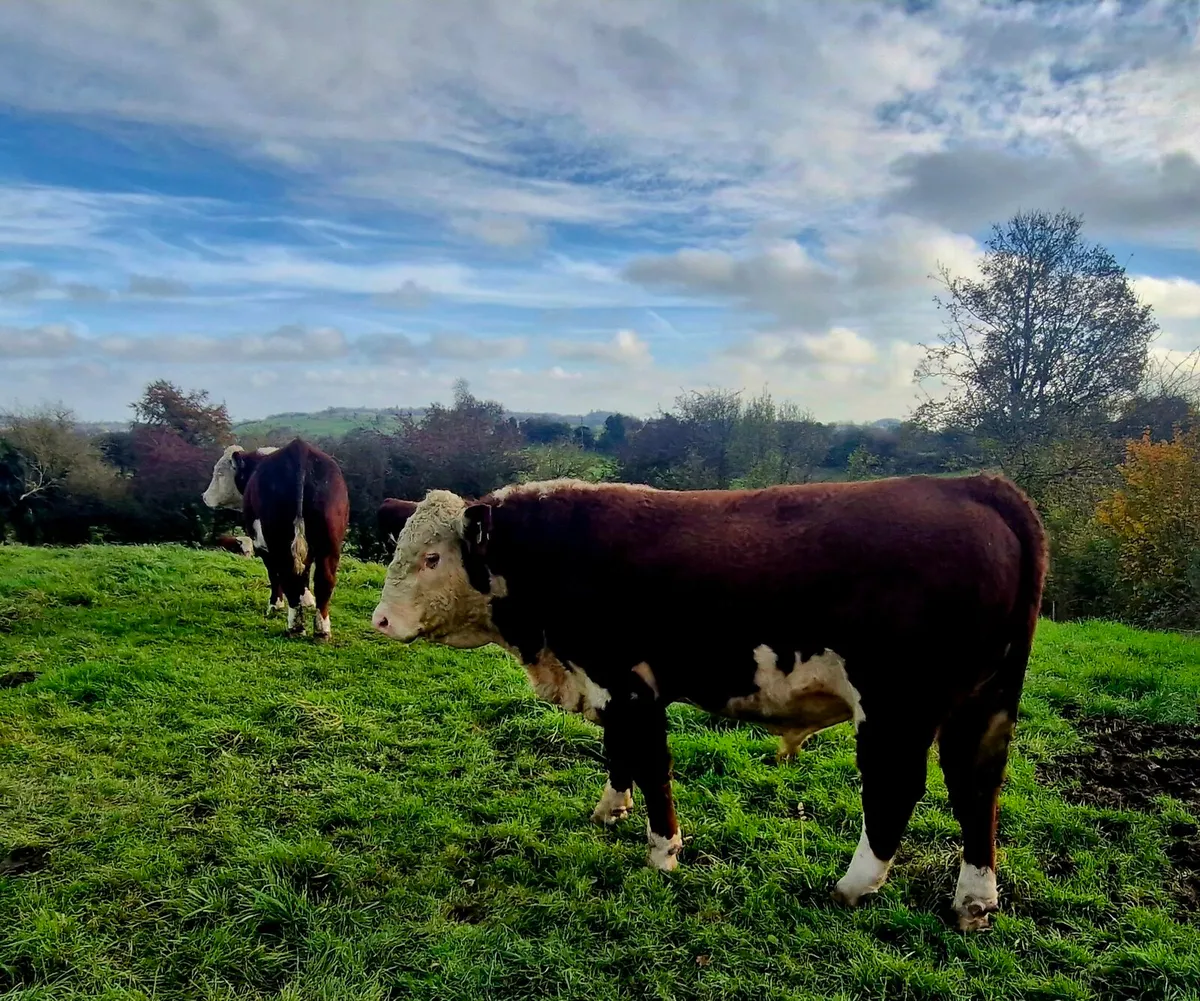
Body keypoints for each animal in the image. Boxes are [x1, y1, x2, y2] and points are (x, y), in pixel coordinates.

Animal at [202, 437, 350, 640]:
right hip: (329, 543)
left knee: (287, 576)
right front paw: (307, 600)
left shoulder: (261, 544)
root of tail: (299, 450)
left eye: (219, 473)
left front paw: (275, 605)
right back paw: (322, 630)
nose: (204, 497)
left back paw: (295, 627)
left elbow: (274, 574)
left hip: (281, 542)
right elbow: (304, 572)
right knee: (324, 580)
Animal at [370, 474, 1047, 931]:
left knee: (896, 788)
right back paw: (974, 900)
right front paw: (610, 810)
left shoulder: (631, 685)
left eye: (432, 557)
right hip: (983, 703)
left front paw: (662, 853)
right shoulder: (608, 686)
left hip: (895, 708)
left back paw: (854, 886)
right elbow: (617, 754)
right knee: (976, 785)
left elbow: (651, 765)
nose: (380, 620)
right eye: (398, 550)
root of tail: (976, 485)